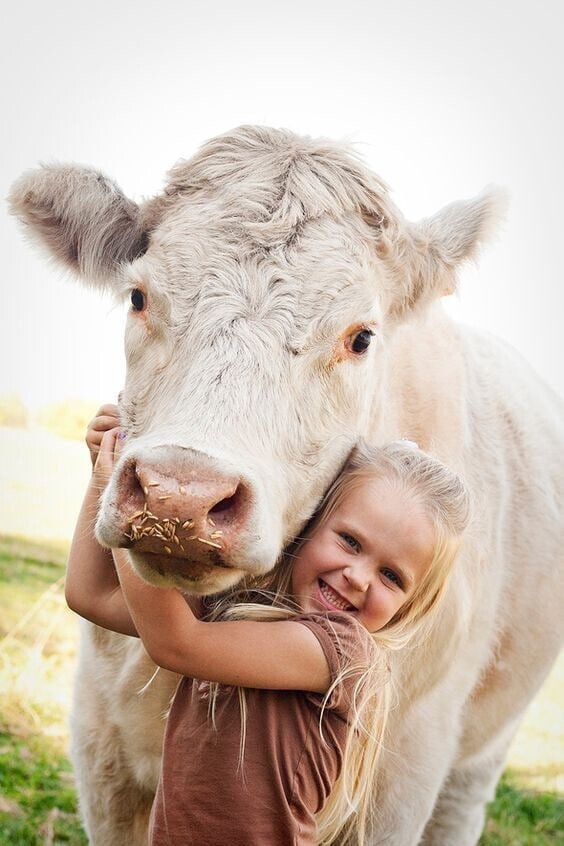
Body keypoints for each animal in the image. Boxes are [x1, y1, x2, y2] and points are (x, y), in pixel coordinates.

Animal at [9, 126, 564, 846]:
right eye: (138, 297)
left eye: (361, 337)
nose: (179, 496)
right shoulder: (103, 753)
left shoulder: (402, 775)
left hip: (481, 751)